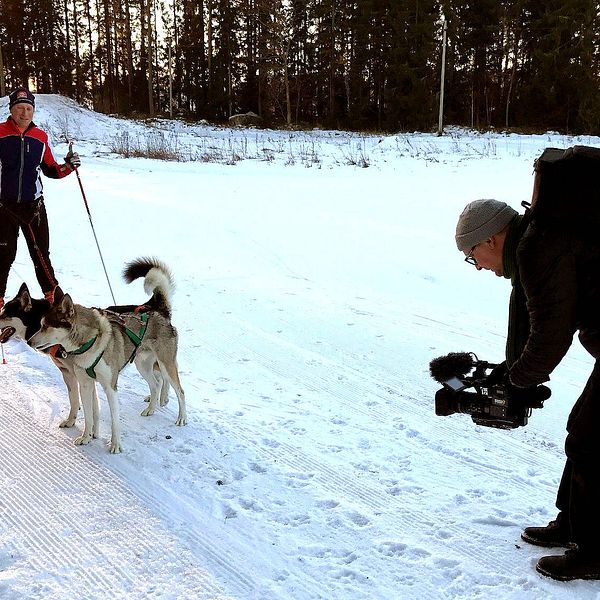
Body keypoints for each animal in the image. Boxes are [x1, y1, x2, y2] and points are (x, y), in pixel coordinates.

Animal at [28, 255, 186, 452]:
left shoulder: (110, 387)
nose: (29, 341)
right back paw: (150, 409)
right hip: (142, 365)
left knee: (180, 391)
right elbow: (88, 415)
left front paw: (115, 445)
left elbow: (114, 420)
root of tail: (159, 311)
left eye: (45, 326)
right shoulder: (85, 384)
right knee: (155, 385)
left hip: (166, 365)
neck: (89, 342)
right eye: (41, 324)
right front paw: (86, 437)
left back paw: (181, 418)